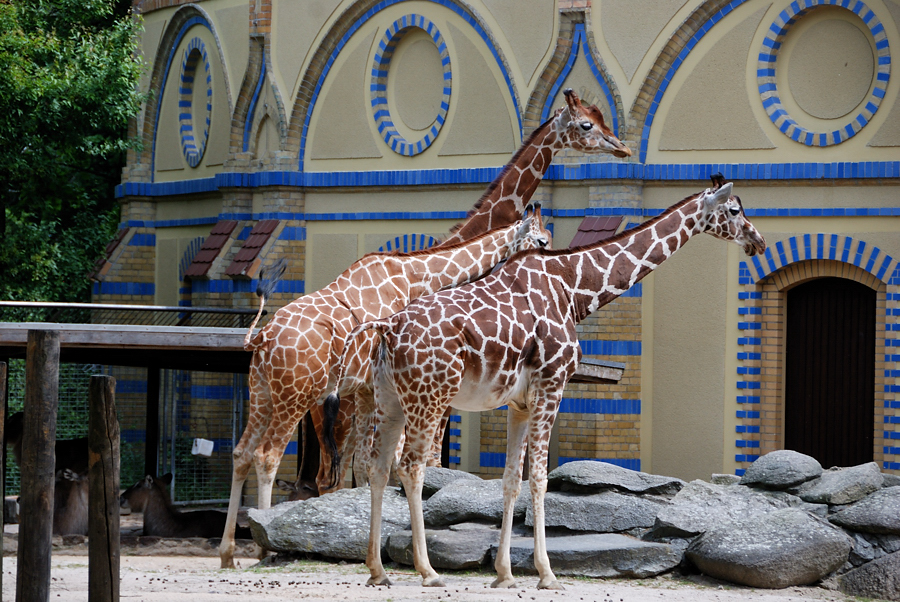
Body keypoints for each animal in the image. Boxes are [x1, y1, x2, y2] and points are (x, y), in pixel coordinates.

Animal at [217, 207, 548, 568]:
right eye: (542, 241)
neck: (417, 277)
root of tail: (262, 338)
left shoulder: (365, 389)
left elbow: (364, 465)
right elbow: (392, 463)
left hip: (263, 392)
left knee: (242, 453)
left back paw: (228, 552)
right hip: (295, 395)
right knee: (268, 455)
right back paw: (264, 546)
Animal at [324, 173, 768, 584]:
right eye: (734, 210)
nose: (758, 242)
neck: (574, 287)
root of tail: (387, 326)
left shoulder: (519, 402)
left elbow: (510, 481)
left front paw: (504, 573)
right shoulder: (553, 386)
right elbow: (539, 478)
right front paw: (545, 572)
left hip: (391, 399)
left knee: (378, 466)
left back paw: (377, 570)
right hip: (430, 396)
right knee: (411, 467)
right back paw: (428, 571)